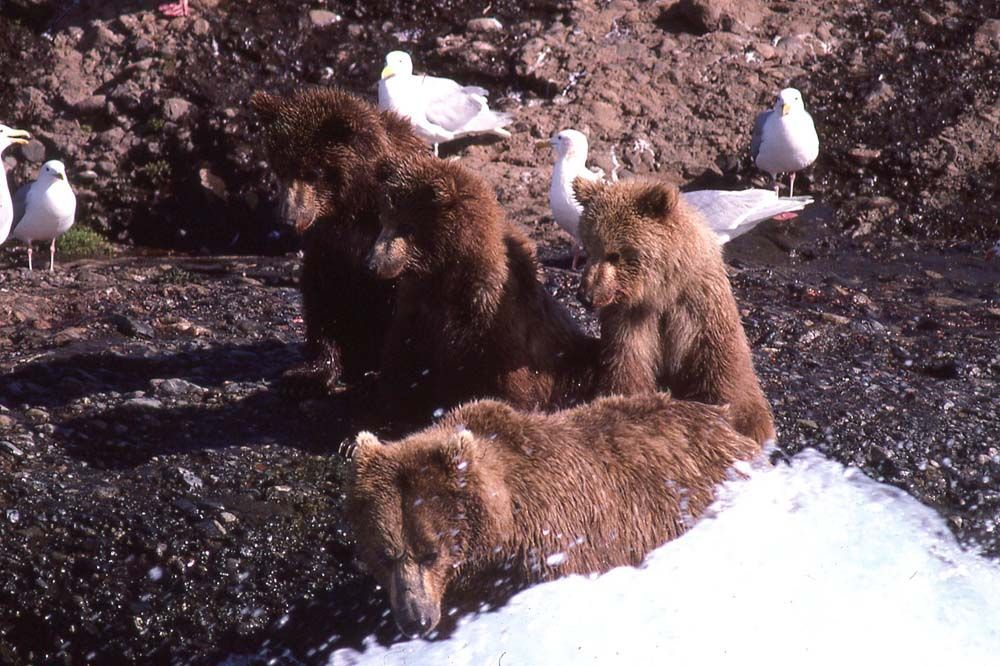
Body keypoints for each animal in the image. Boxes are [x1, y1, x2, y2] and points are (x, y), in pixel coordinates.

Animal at [251, 87, 427, 396]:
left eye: (313, 171)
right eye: (281, 168)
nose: (287, 219)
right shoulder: (329, 245)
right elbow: (323, 297)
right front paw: (307, 375)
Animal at [367, 151, 597, 415]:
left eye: (406, 226)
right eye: (384, 219)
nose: (372, 263)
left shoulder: (493, 316)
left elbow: (507, 377)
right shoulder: (418, 306)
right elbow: (402, 358)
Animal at [573, 177, 777, 445]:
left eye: (614, 254)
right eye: (587, 249)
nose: (585, 295)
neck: (660, 291)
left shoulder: (698, 306)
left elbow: (721, 365)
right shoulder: (631, 318)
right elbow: (627, 362)